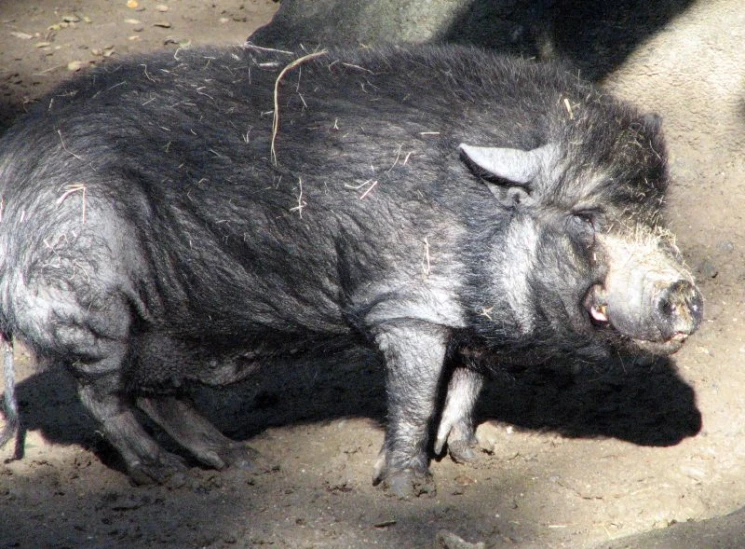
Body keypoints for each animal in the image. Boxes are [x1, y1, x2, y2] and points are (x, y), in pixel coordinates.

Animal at [0, 44, 700, 496]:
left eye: (658, 211)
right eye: (586, 216)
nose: (687, 295)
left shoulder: (470, 323)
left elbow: (467, 385)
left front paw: (470, 455)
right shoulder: (407, 309)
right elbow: (414, 397)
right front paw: (406, 487)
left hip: (168, 328)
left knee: (156, 392)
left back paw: (242, 461)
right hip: (89, 304)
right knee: (102, 395)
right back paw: (162, 474)